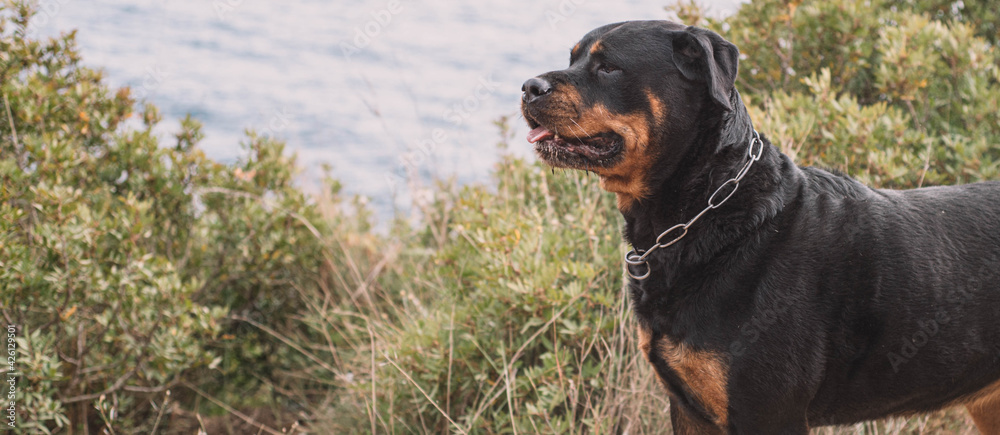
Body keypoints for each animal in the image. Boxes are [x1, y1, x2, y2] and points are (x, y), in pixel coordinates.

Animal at [520, 21, 1000, 435]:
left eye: (608, 67)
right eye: (574, 58)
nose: (528, 88)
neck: (707, 216)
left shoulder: (767, 411)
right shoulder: (690, 410)